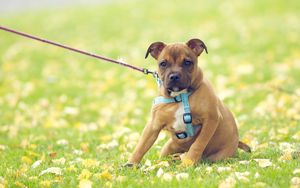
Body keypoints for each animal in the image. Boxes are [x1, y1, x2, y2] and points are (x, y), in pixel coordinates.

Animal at [126, 38, 251, 166]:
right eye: (163, 64)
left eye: (187, 62)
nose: (174, 76)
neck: (180, 96)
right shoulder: (153, 125)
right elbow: (141, 146)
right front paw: (130, 164)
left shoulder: (211, 120)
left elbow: (198, 144)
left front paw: (188, 162)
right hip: (167, 148)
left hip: (219, 156)